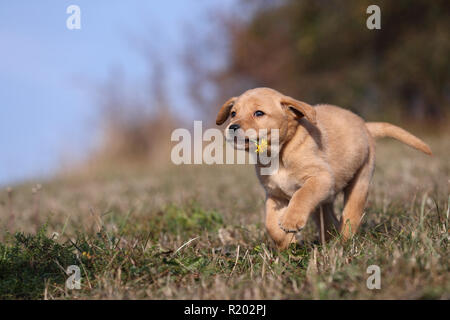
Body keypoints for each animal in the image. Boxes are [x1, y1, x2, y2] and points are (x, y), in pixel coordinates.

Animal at [216, 87, 430, 250]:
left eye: (259, 113)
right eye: (233, 113)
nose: (232, 127)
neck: (279, 154)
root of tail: (365, 125)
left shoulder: (320, 178)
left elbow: (302, 195)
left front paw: (290, 221)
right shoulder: (275, 194)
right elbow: (269, 223)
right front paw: (286, 242)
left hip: (359, 183)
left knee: (350, 217)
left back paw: (342, 243)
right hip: (324, 201)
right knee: (328, 219)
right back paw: (329, 239)